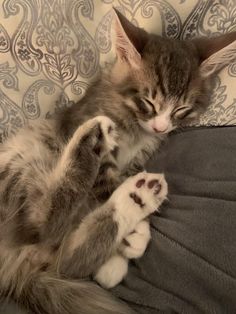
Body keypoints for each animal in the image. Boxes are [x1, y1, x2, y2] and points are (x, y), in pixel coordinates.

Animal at [0, 8, 235, 314]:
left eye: (181, 109)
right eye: (148, 102)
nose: (161, 127)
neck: (134, 125)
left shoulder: (138, 158)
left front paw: (120, 254)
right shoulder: (88, 126)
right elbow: (104, 186)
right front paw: (134, 235)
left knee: (66, 261)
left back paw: (138, 198)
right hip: (19, 163)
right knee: (39, 224)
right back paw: (96, 143)